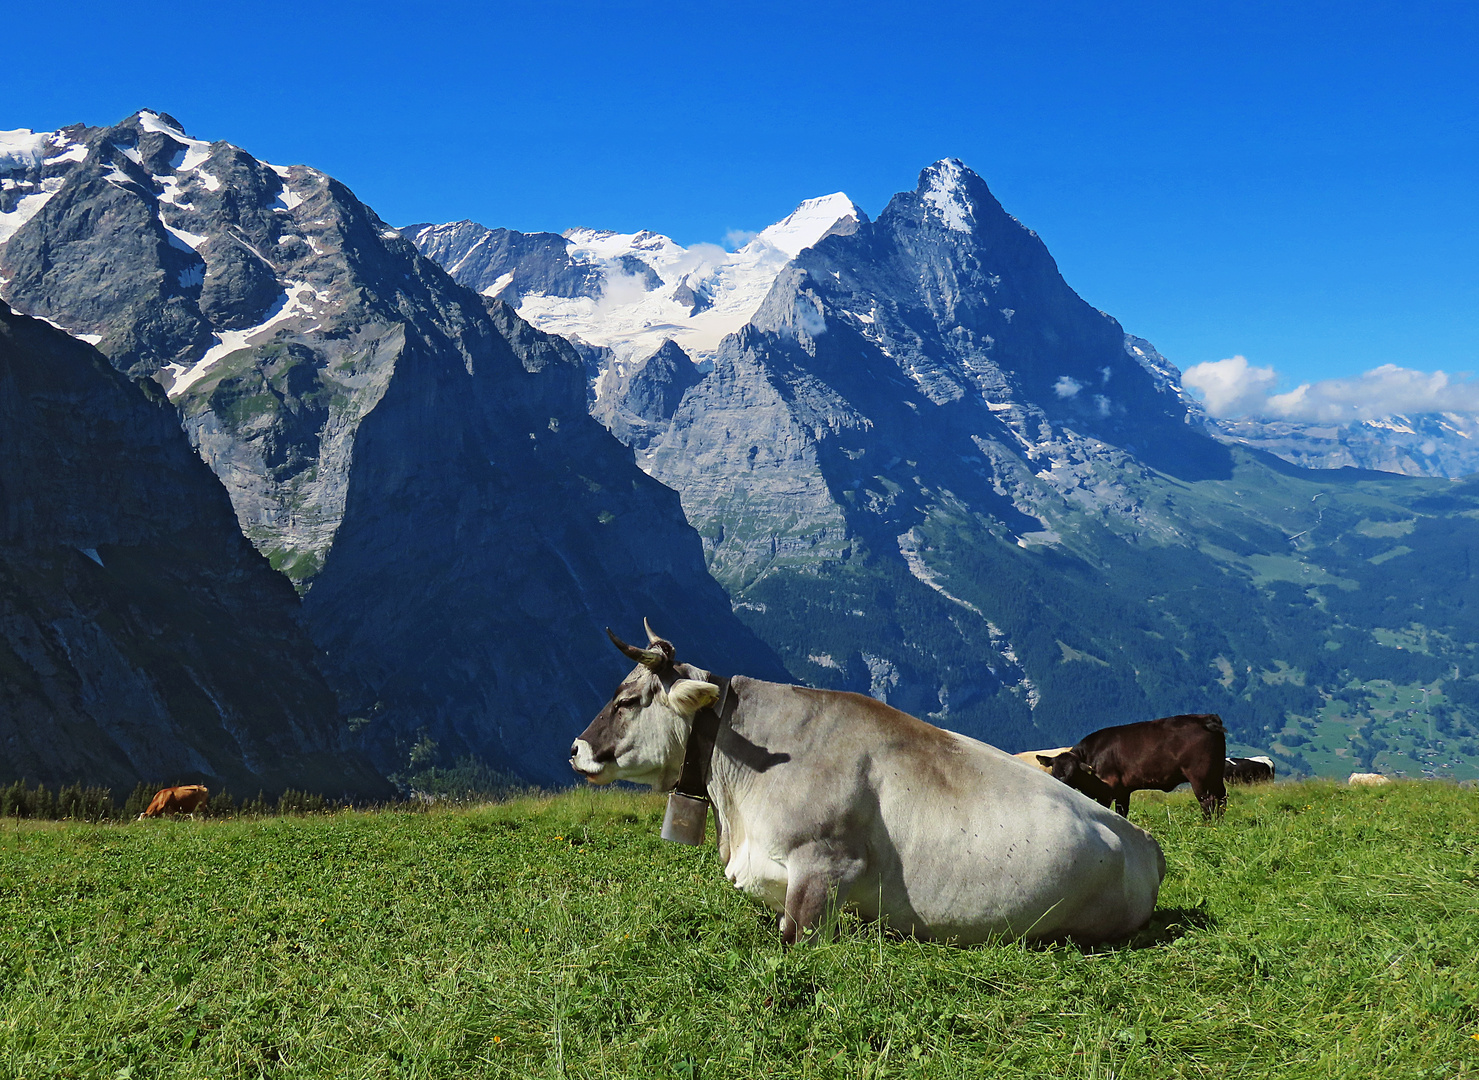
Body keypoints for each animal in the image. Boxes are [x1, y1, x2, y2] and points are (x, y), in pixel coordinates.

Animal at [1035, 716, 1230, 816]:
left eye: (1071, 774)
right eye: (1054, 772)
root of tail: (1205, 719)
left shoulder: (1107, 791)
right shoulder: (1122, 792)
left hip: (1200, 776)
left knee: (1208, 802)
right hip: (1214, 774)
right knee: (1221, 798)